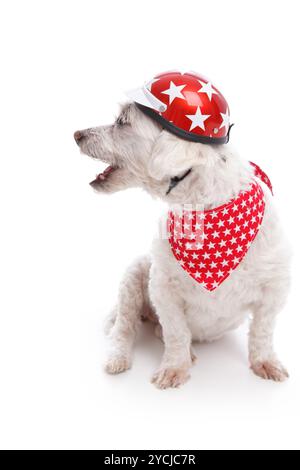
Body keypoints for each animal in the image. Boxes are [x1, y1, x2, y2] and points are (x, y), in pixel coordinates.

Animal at [74, 102, 290, 390]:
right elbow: (176, 331)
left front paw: (264, 362)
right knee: (125, 327)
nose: (77, 134)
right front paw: (175, 367)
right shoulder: (163, 287)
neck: (205, 210)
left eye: (122, 121)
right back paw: (119, 357)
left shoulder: (276, 286)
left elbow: (262, 331)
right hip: (135, 275)